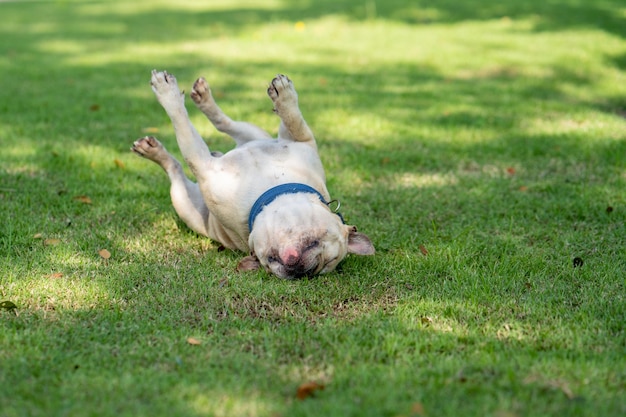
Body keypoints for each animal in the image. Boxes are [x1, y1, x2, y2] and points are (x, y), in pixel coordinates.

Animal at [130, 70, 370, 280]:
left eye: (325, 266)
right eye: (322, 250)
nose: (304, 271)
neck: (273, 189)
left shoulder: (202, 165)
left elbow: (184, 130)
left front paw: (167, 94)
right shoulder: (301, 141)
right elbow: (295, 121)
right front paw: (285, 97)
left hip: (183, 201)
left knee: (175, 168)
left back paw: (154, 152)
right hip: (255, 135)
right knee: (227, 124)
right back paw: (204, 98)